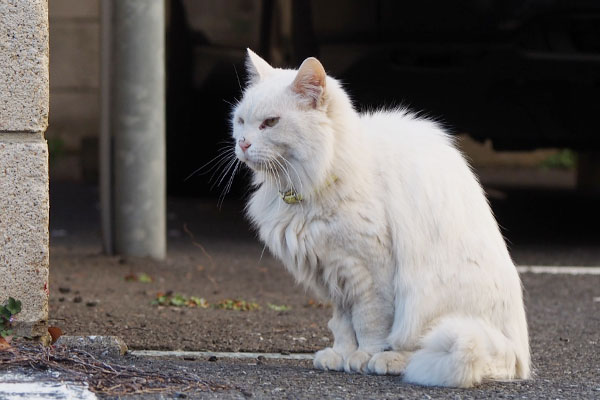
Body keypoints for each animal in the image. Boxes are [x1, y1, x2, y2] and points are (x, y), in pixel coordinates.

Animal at [230, 50, 528, 388]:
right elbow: (343, 325)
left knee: (421, 349)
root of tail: (515, 354)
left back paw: (391, 361)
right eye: (241, 121)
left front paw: (364, 357)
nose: (243, 143)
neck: (318, 175)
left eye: (270, 123)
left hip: (429, 303)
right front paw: (340, 355)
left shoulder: (369, 270)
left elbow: (370, 323)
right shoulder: (334, 271)